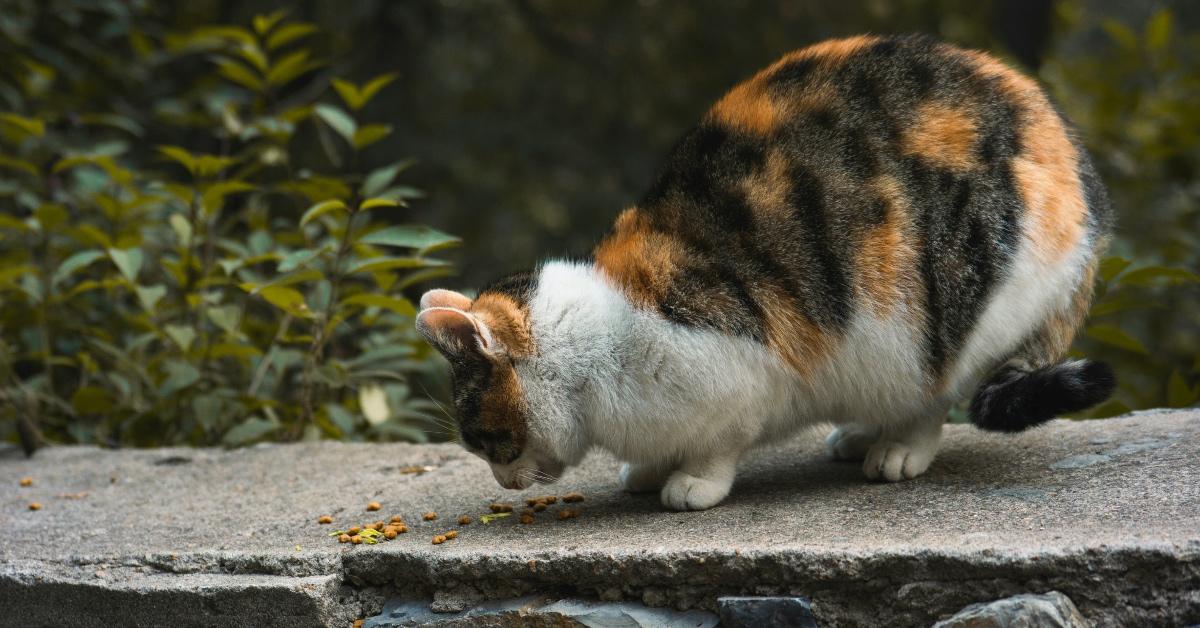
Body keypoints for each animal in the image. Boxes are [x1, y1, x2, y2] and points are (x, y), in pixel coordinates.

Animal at [412, 34, 1113, 511]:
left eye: (483, 438)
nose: (503, 481)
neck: (597, 345)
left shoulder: (742, 377)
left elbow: (721, 443)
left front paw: (689, 482)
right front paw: (647, 472)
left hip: (942, 315)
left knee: (933, 392)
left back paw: (896, 450)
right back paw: (857, 434)